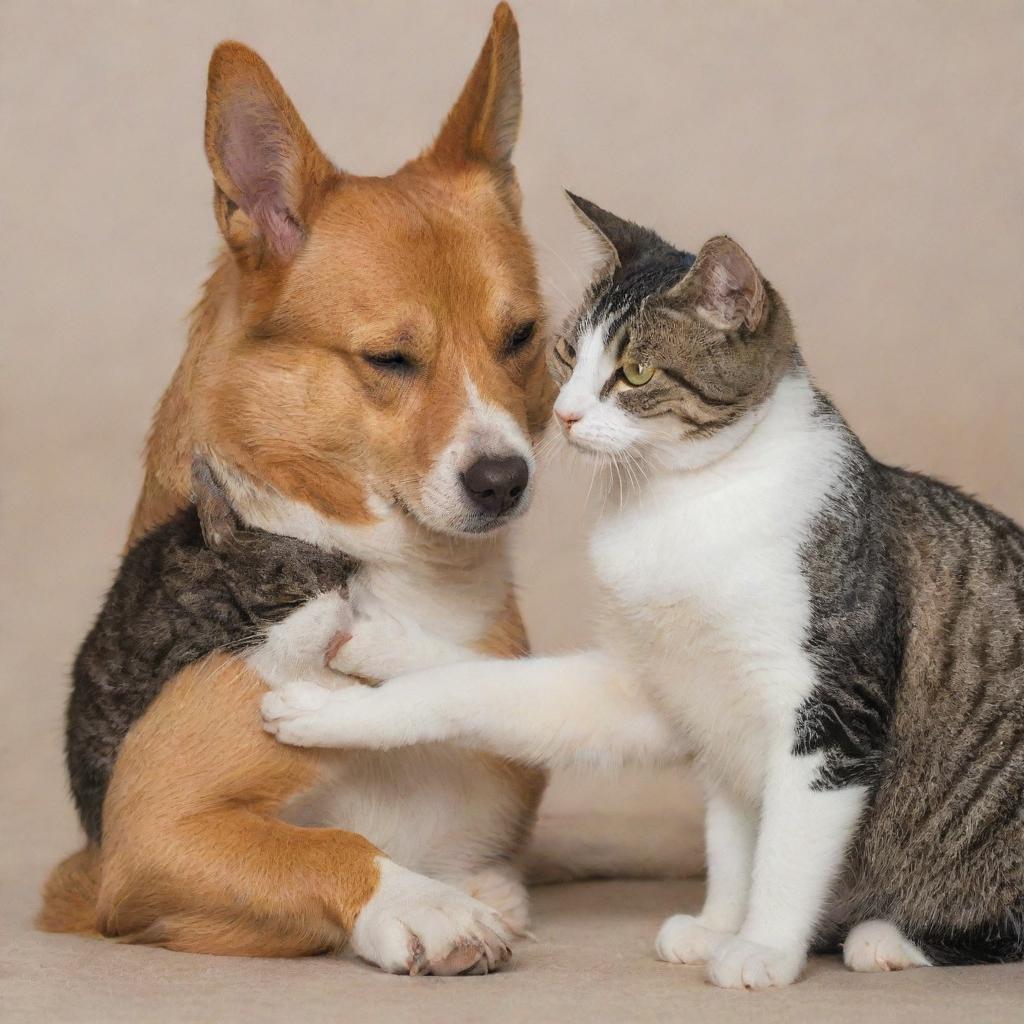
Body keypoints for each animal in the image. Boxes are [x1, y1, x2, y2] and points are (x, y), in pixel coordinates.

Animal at [262, 195, 1024, 987]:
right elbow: (481, 687)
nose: (564, 415)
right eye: (568, 353)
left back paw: (888, 939)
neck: (681, 503)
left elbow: (785, 849)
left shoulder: (829, 713)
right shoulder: (664, 693)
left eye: (635, 371)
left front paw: (760, 947)